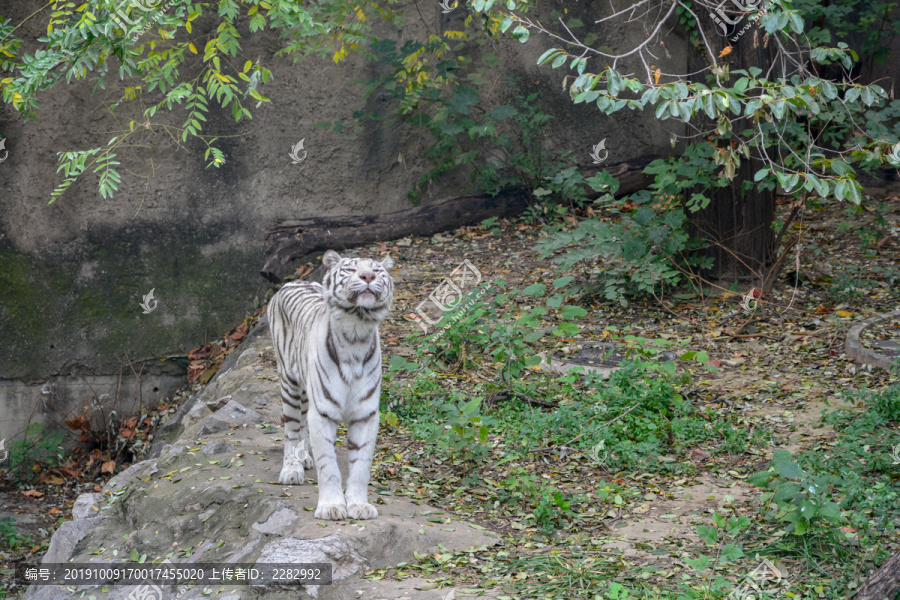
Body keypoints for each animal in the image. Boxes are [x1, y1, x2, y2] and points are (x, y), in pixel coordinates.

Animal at [268, 248, 394, 520]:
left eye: (377, 270)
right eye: (351, 269)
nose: (368, 276)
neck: (356, 332)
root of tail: (295, 280)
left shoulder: (366, 414)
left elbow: (361, 466)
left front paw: (359, 505)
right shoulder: (323, 412)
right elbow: (329, 465)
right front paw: (331, 506)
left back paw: (305, 459)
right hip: (289, 383)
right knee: (291, 429)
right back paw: (292, 469)